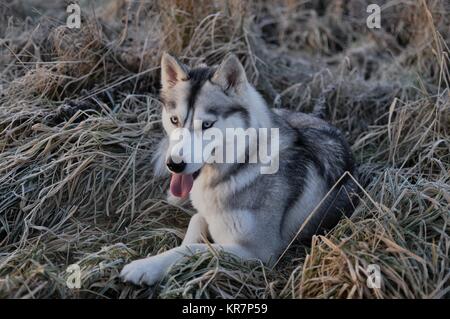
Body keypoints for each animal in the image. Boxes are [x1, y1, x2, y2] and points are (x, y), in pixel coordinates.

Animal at [120, 53, 358, 288]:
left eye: (207, 125)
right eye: (174, 120)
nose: (174, 164)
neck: (238, 166)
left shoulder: (258, 253)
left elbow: (195, 248)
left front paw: (146, 267)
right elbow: (195, 221)